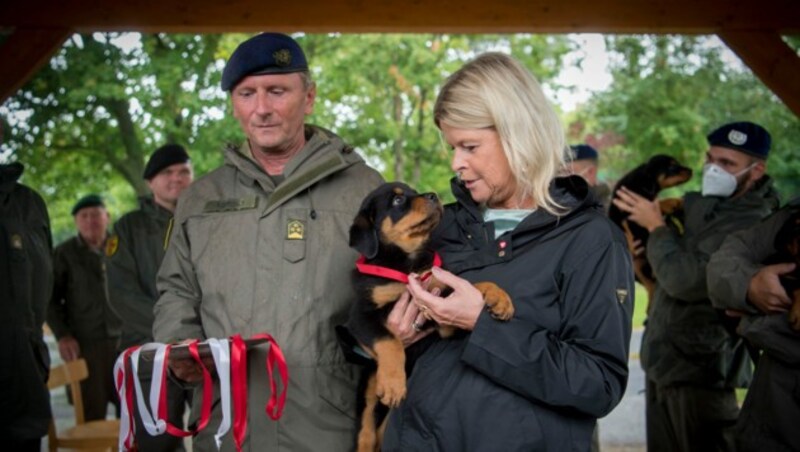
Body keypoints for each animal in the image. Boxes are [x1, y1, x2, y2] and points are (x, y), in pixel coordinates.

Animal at [348, 182, 512, 450]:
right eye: (397, 200)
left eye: (413, 191)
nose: (433, 195)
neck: (408, 266)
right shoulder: (361, 316)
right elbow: (390, 341)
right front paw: (393, 382)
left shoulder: (440, 311)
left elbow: (470, 284)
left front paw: (498, 296)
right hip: (370, 388)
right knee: (366, 434)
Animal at [608, 154, 692, 302]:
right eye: (672, 166)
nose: (691, 170)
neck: (641, 185)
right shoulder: (617, 211)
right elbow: (623, 226)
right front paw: (629, 245)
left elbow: (657, 203)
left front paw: (675, 201)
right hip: (638, 267)